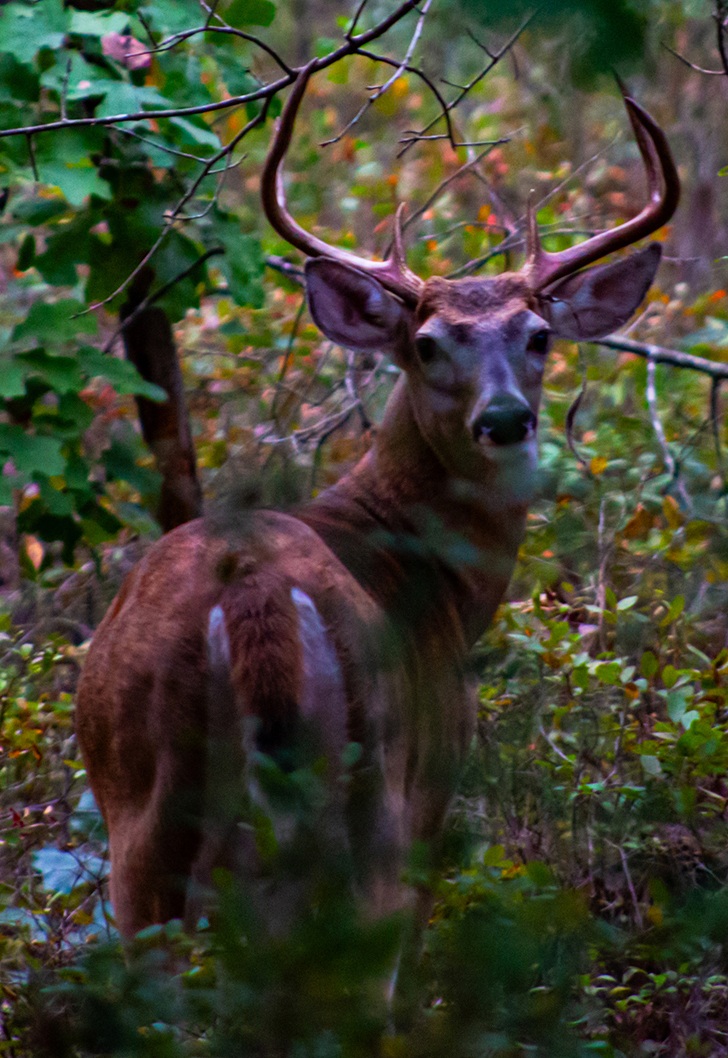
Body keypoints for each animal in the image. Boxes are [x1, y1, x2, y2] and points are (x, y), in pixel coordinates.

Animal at [76, 61, 679, 1004]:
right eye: (427, 343)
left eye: (540, 334)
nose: (504, 418)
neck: (438, 580)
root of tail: (254, 597)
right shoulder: (435, 792)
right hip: (371, 810)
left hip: (142, 816)